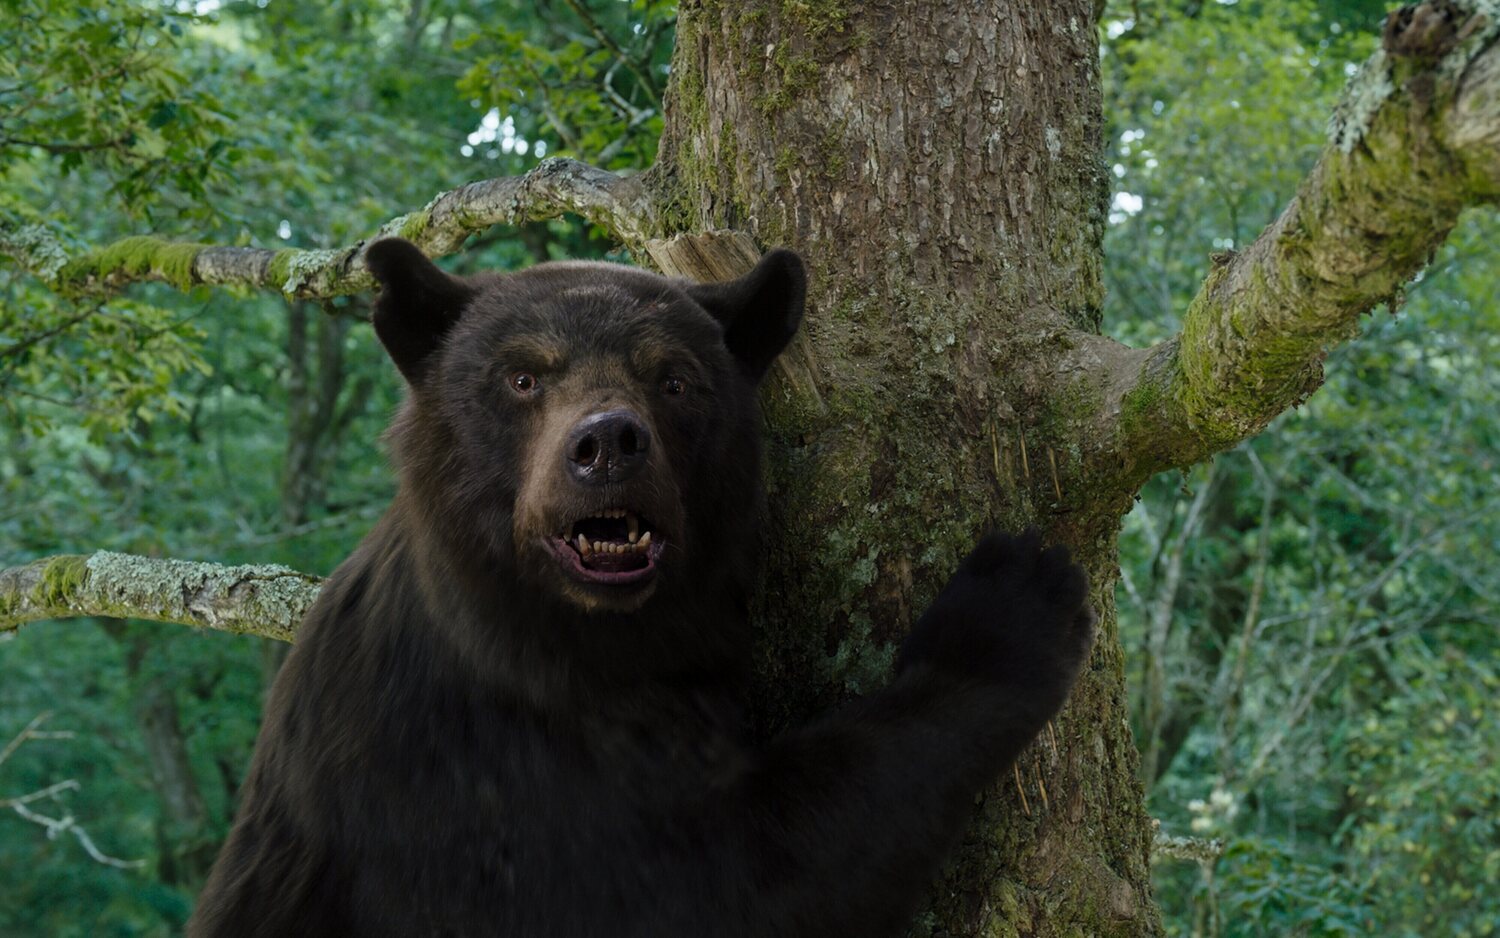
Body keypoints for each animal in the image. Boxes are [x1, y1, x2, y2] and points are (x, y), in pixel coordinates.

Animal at [193, 240, 1098, 936]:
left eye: (674, 379)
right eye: (522, 378)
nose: (606, 445)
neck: (575, 642)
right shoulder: (471, 781)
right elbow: (723, 880)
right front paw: (1009, 605)